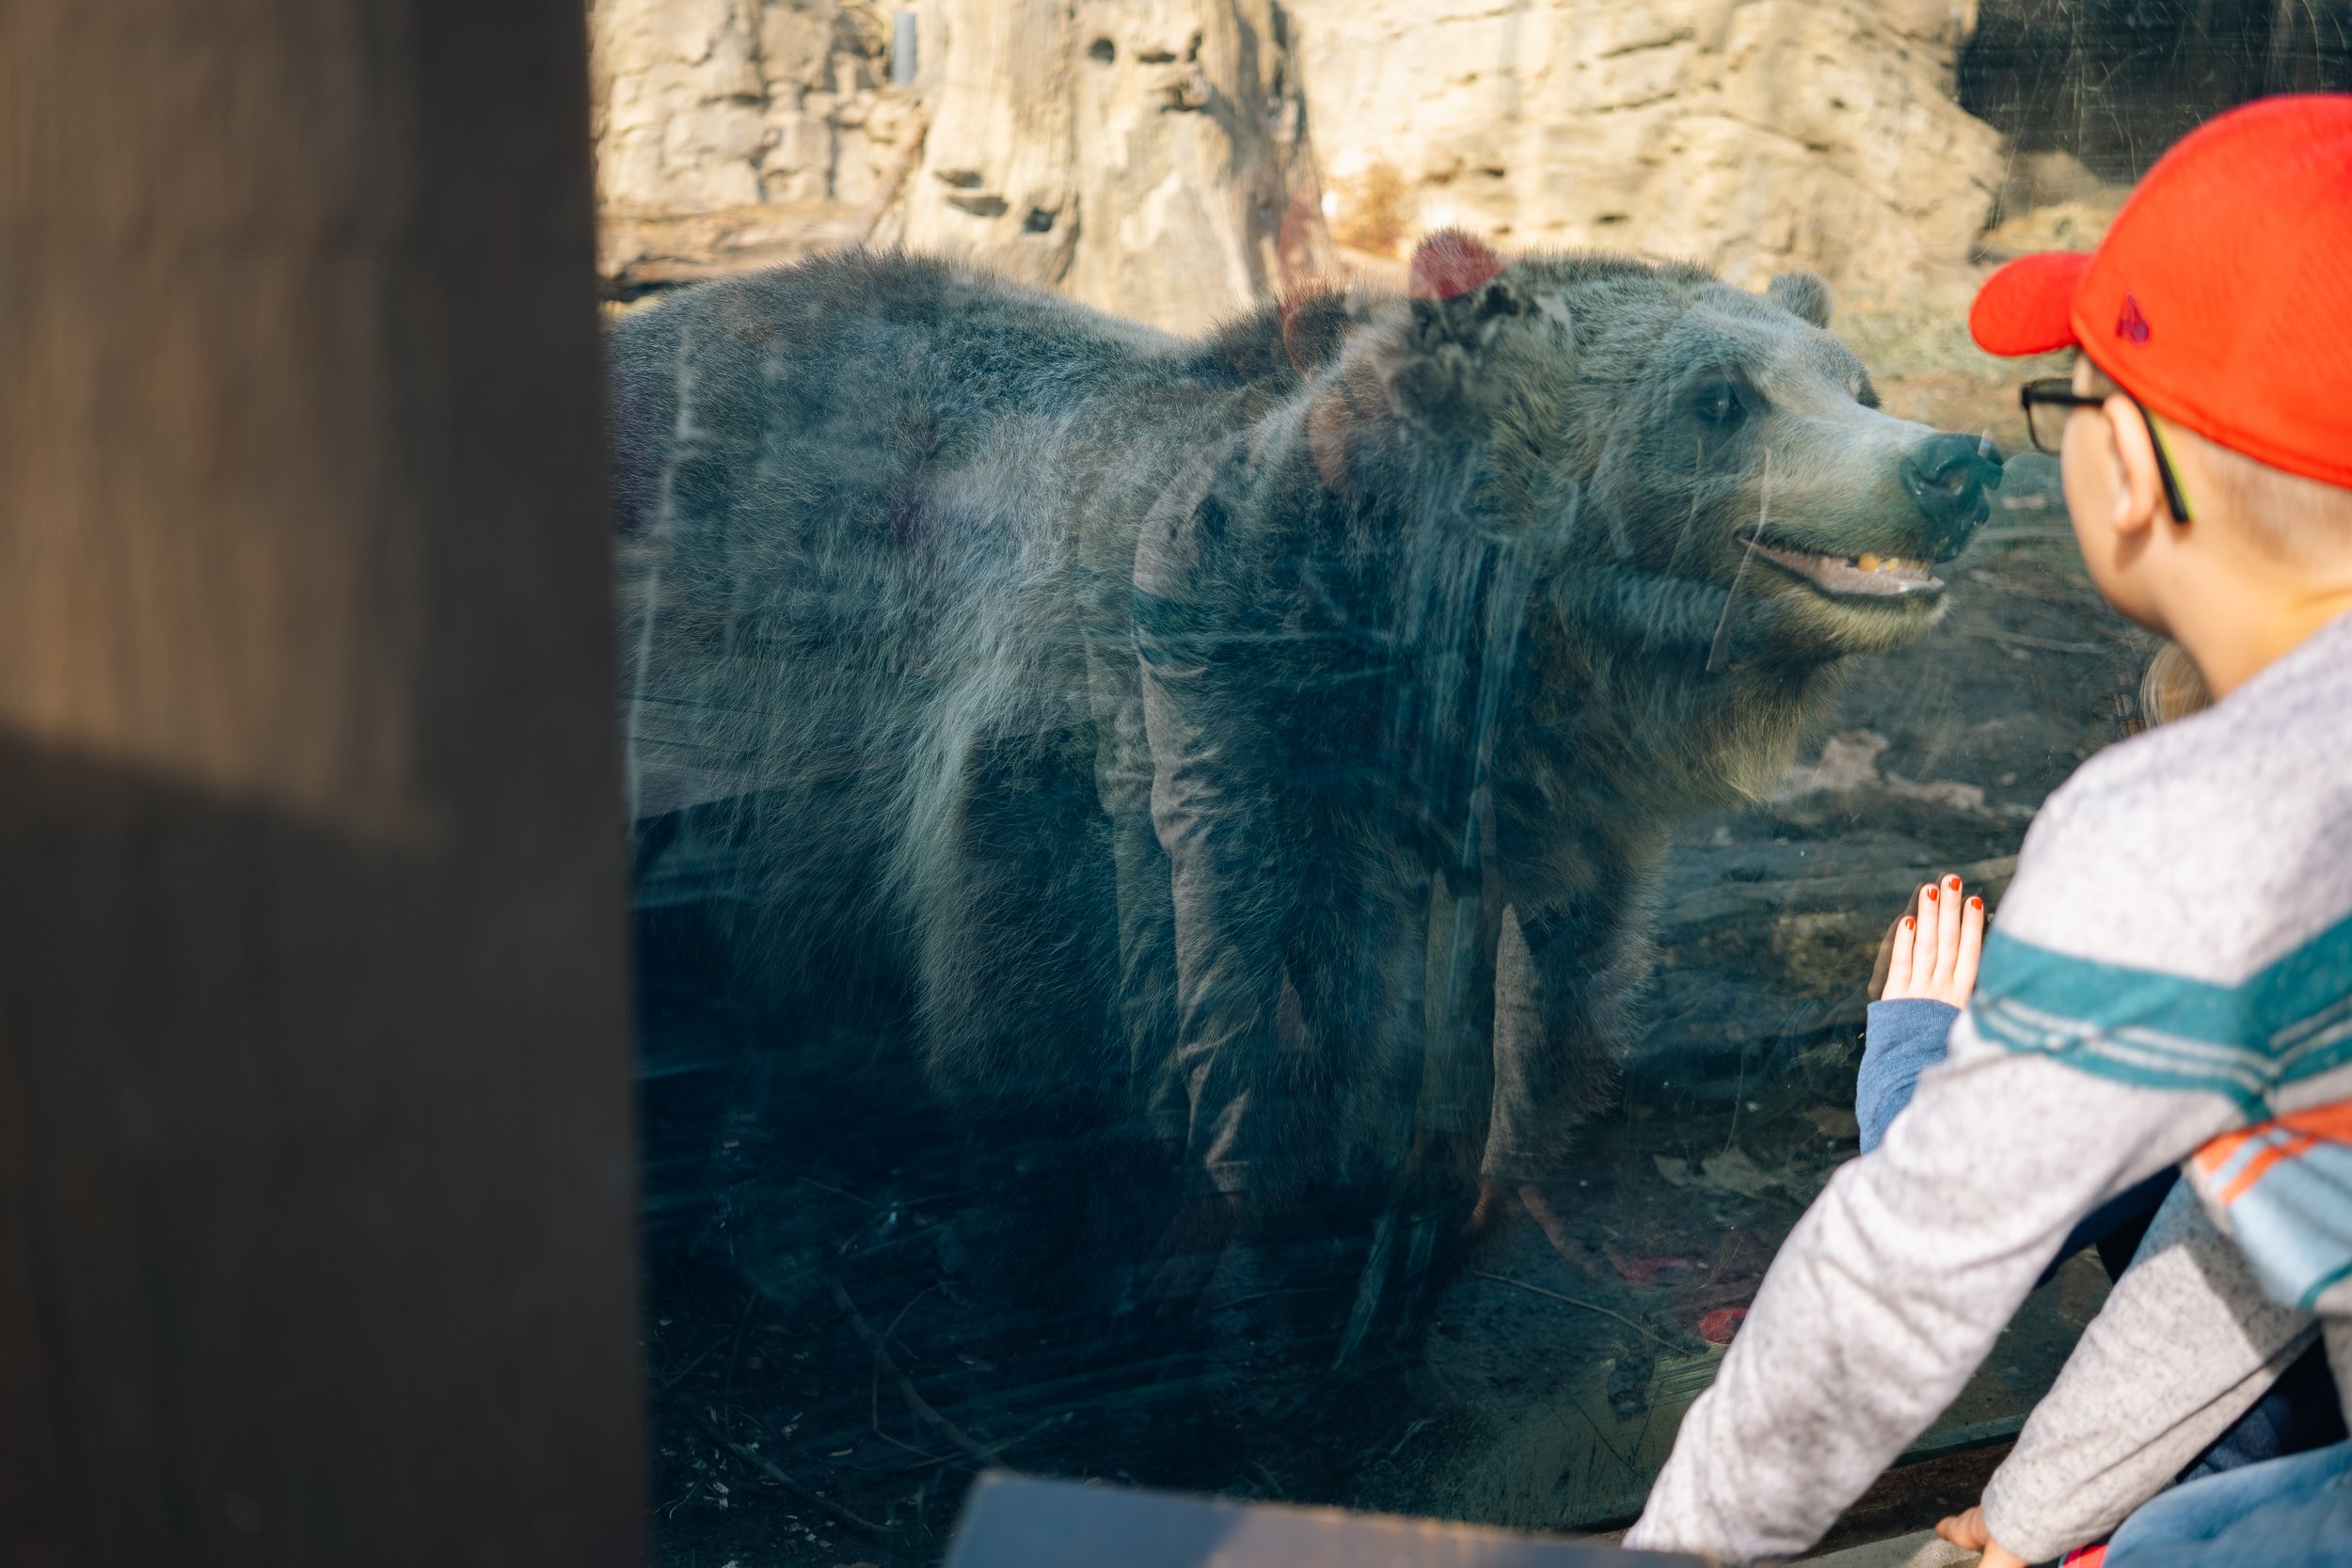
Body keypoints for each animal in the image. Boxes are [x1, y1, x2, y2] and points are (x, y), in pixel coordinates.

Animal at [610, 234, 2000, 1337]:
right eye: (1718, 397)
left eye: (1855, 380)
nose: (1954, 462)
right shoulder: (1157, 771)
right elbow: (1076, 1056)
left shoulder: (1559, 851)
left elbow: (1526, 1028)